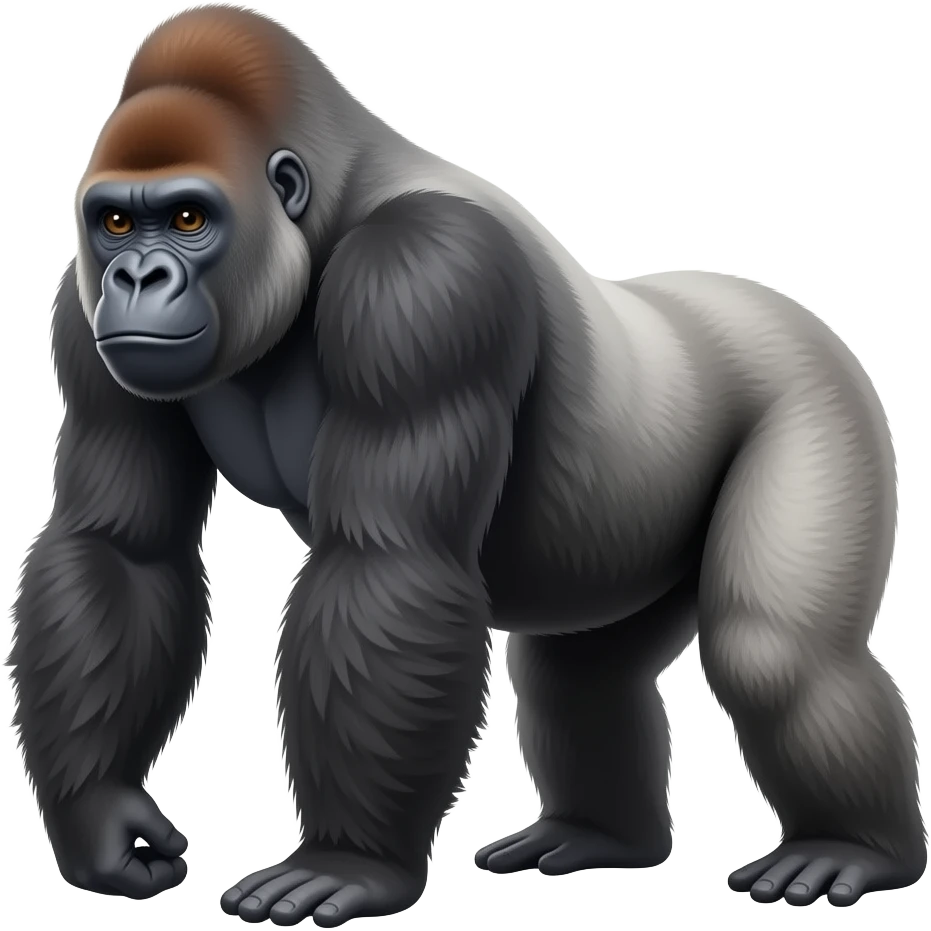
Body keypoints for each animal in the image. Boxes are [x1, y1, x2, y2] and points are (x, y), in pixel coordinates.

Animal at [8, 2, 925, 926]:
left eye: (190, 220)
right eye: (115, 223)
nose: (137, 276)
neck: (328, 207)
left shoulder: (426, 278)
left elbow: (389, 562)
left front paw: (352, 860)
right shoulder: (80, 317)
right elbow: (121, 547)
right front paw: (100, 815)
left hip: (816, 389)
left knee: (773, 654)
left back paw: (855, 847)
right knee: (579, 672)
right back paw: (602, 834)